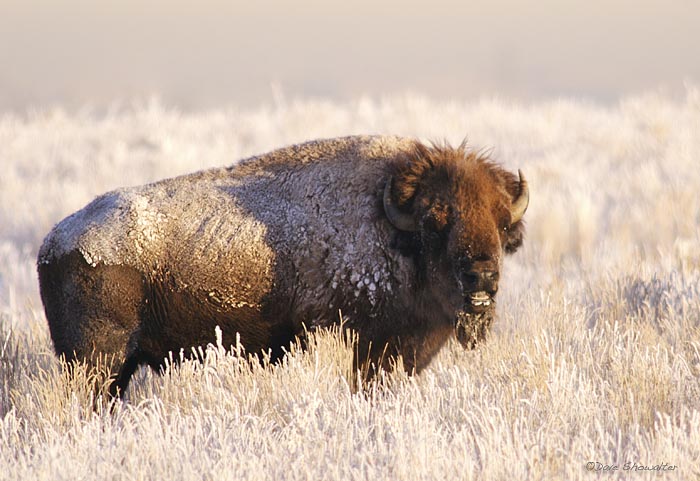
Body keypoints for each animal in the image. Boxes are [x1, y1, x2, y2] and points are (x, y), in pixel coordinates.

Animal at [38, 135, 528, 398]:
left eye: (502, 223)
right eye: (434, 222)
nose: (482, 278)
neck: (388, 222)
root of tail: (53, 243)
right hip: (98, 361)